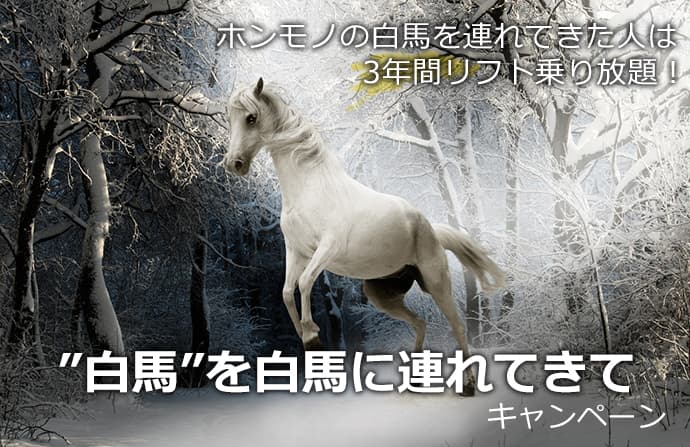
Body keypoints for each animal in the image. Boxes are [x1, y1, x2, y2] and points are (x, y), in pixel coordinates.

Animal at [222, 78, 504, 394]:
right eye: (230, 118)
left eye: (251, 118)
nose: (234, 164)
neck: (311, 187)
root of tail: (430, 228)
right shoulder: (296, 251)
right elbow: (286, 291)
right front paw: (307, 338)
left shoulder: (327, 248)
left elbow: (305, 282)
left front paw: (312, 336)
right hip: (381, 295)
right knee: (420, 323)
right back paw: (415, 380)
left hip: (436, 282)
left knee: (458, 325)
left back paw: (467, 385)